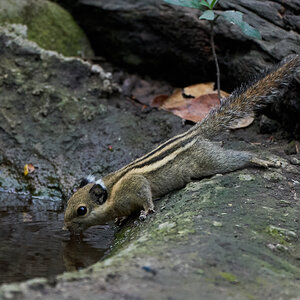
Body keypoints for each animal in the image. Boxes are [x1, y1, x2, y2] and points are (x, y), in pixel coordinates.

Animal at [63, 55, 300, 234]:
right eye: (67, 204)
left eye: (81, 210)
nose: (65, 227)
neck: (111, 191)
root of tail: (193, 133)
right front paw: (121, 219)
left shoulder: (134, 184)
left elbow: (144, 194)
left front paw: (146, 210)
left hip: (210, 161)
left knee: (236, 157)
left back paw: (261, 160)